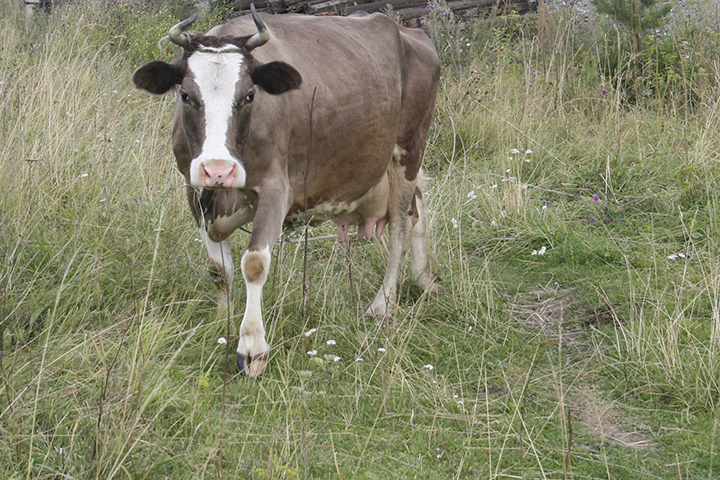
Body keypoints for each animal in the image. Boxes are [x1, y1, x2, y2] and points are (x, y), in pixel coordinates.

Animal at [132, 5, 442, 376]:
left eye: (249, 95)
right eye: (185, 96)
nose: (219, 170)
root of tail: (412, 32)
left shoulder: (275, 188)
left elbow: (254, 263)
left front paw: (252, 348)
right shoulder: (193, 189)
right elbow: (218, 267)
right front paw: (222, 319)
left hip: (408, 148)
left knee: (399, 227)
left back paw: (382, 304)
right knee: (417, 208)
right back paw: (422, 279)